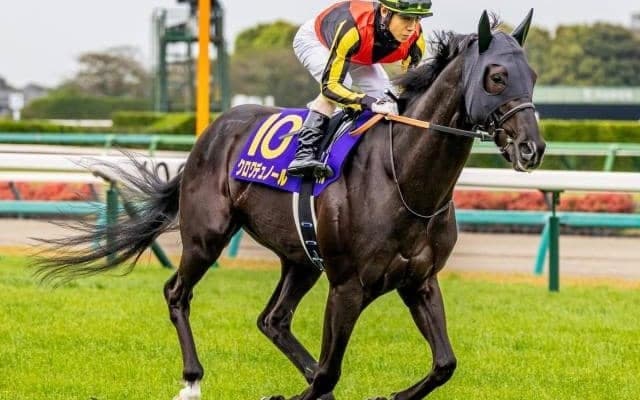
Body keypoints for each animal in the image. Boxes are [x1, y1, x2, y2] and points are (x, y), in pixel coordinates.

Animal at [37, 10, 545, 400]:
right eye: (497, 77)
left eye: (533, 76)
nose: (533, 149)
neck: (402, 177)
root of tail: (211, 131)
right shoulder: (348, 286)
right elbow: (329, 371)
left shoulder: (419, 281)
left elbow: (444, 363)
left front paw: (391, 394)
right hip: (206, 236)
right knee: (177, 293)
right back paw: (192, 380)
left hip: (300, 258)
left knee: (273, 320)